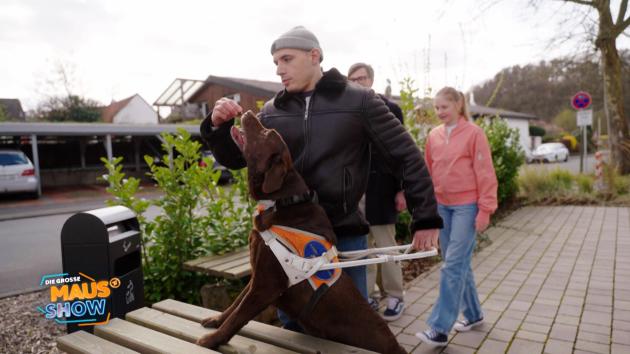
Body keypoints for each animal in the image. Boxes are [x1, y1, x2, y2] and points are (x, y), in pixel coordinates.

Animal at [196, 110, 404, 354]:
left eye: (265, 133)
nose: (247, 112)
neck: (282, 201)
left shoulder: (266, 285)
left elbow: (239, 315)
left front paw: (212, 340)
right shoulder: (257, 276)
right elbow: (235, 303)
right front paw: (216, 320)